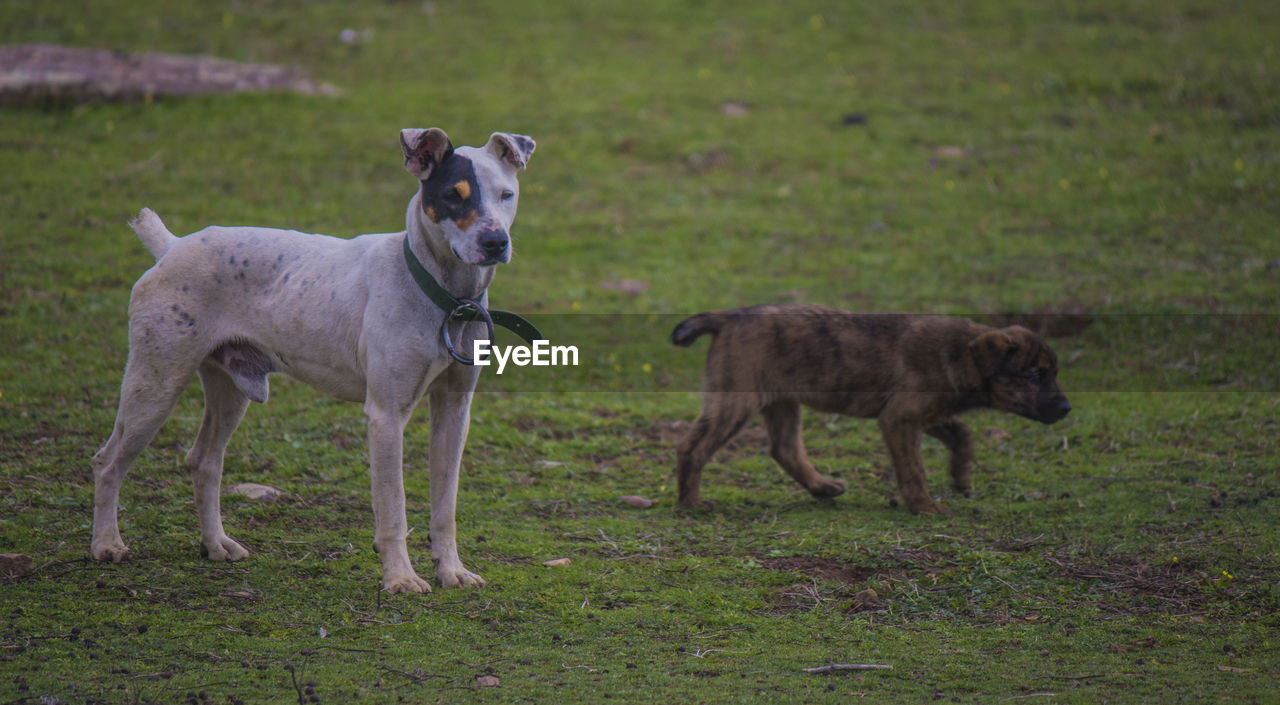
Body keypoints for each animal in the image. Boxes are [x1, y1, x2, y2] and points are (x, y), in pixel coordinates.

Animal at [92, 128, 535, 596]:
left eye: (506, 195)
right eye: (453, 195)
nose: (495, 242)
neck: (444, 295)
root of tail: (171, 247)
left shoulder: (454, 411)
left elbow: (445, 506)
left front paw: (451, 570)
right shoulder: (386, 416)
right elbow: (393, 509)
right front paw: (399, 577)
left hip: (229, 390)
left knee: (204, 461)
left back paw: (215, 544)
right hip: (154, 386)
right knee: (108, 462)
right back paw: (107, 544)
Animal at [670, 305, 1070, 516]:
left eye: (1054, 373)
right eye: (1034, 375)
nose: (1066, 408)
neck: (961, 354)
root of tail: (729, 315)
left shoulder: (924, 413)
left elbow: (963, 434)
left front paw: (960, 477)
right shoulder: (899, 418)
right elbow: (913, 470)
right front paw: (924, 506)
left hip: (782, 401)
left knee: (785, 449)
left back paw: (823, 487)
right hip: (736, 402)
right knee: (692, 447)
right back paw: (691, 503)